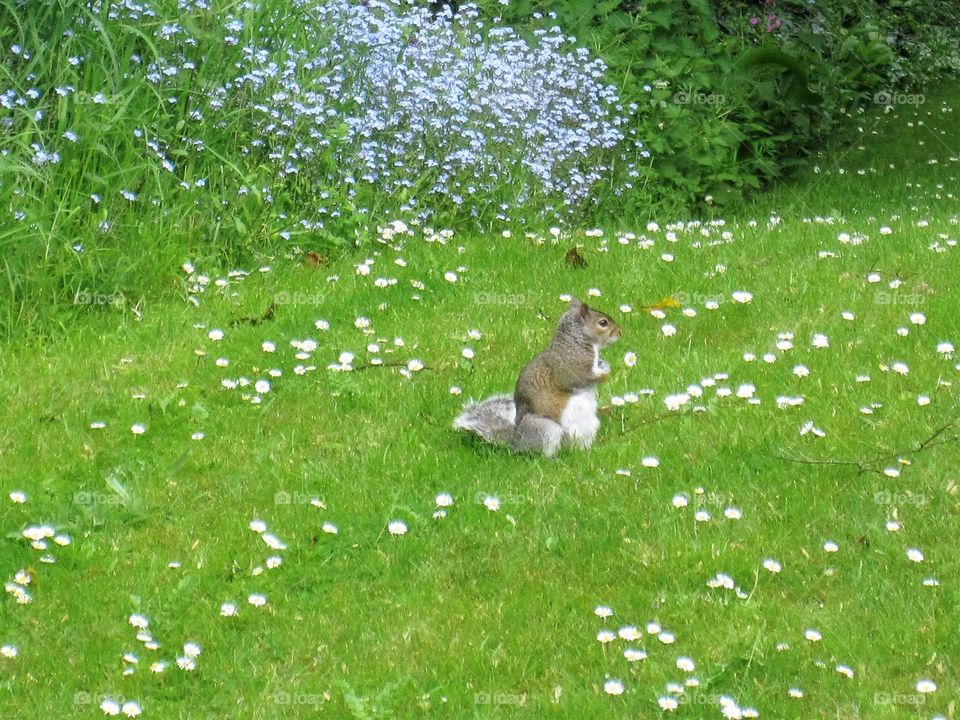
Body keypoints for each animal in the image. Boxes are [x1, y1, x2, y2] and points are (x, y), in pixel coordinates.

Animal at [453, 298, 621, 457]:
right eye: (603, 323)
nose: (620, 332)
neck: (575, 342)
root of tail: (516, 442)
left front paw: (603, 363)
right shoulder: (570, 367)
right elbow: (582, 378)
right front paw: (605, 371)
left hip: (588, 427)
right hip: (547, 429)